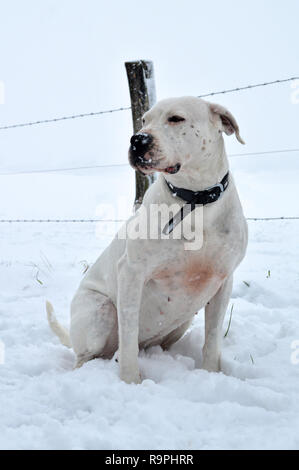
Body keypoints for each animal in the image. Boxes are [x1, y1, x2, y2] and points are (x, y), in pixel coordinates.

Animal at [47, 97, 248, 384]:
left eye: (176, 118)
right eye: (144, 120)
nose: (137, 139)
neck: (195, 201)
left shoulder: (223, 280)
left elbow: (212, 340)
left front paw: (211, 374)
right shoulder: (131, 272)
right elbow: (129, 336)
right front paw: (131, 381)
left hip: (182, 321)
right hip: (99, 312)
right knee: (87, 355)